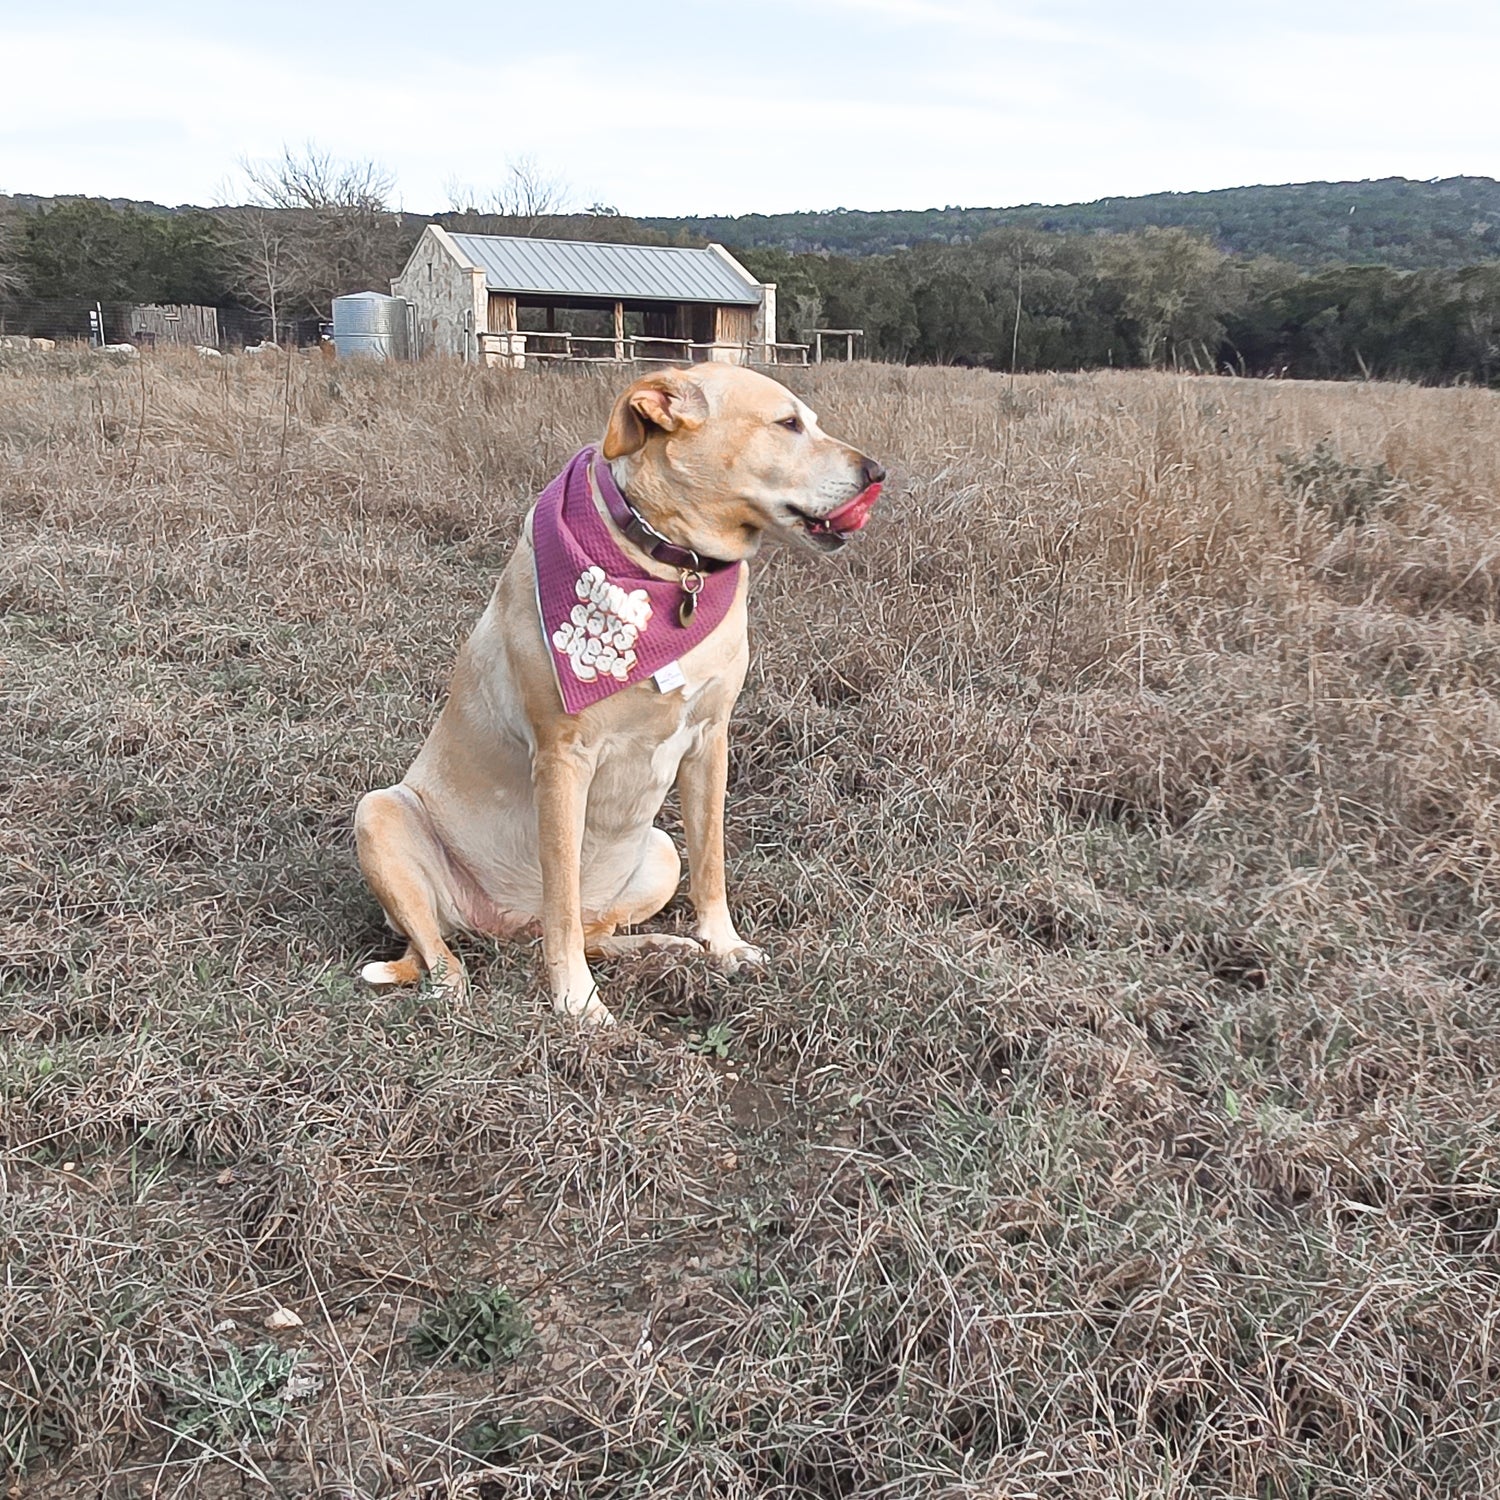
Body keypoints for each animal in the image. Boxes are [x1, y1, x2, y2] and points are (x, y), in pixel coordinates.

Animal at [357, 363, 882, 1026]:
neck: (673, 569)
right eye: (788, 423)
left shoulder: (710, 743)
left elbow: (711, 866)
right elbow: (560, 893)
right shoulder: (563, 760)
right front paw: (576, 1001)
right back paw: (454, 990)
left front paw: (725, 946)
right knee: (452, 946)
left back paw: (663, 945)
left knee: (598, 930)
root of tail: (507, 928)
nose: (877, 473)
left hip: (659, 851)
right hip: (380, 814)